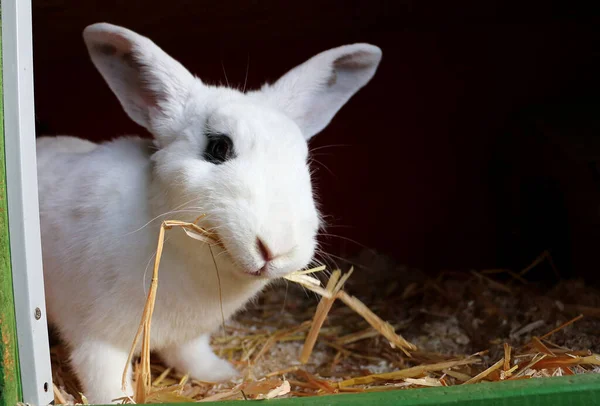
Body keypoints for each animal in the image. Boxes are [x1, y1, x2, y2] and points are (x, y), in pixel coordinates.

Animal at [37, 23, 382, 406]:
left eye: (303, 159)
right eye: (219, 147)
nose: (276, 249)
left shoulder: (188, 336)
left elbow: (191, 355)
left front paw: (221, 374)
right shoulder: (99, 342)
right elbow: (107, 381)